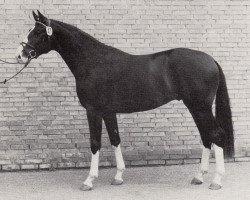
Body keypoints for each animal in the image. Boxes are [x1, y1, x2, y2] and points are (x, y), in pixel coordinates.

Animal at [15, 10, 233, 191]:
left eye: (37, 32)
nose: (20, 55)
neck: (93, 62)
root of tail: (211, 60)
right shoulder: (108, 112)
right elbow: (115, 139)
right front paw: (118, 176)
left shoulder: (93, 110)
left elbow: (95, 143)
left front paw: (89, 180)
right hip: (196, 108)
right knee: (206, 137)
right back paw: (199, 177)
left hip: (201, 107)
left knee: (216, 135)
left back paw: (216, 181)